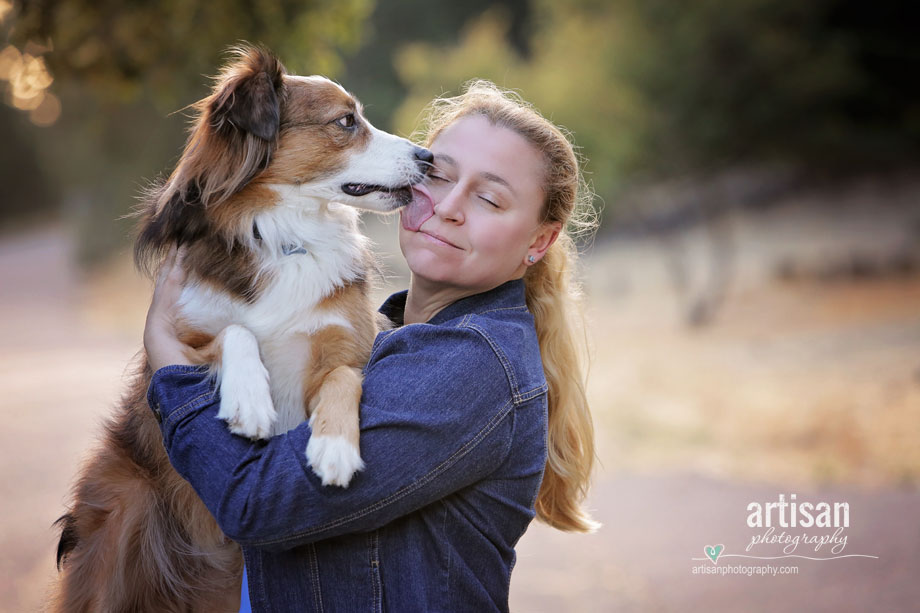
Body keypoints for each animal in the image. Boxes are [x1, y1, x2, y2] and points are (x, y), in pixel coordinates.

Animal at [52, 45, 434, 608]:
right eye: (346, 122)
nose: (430, 158)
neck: (285, 235)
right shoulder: (178, 337)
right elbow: (237, 332)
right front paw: (250, 400)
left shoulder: (346, 347)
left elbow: (344, 377)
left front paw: (335, 448)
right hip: (124, 524)